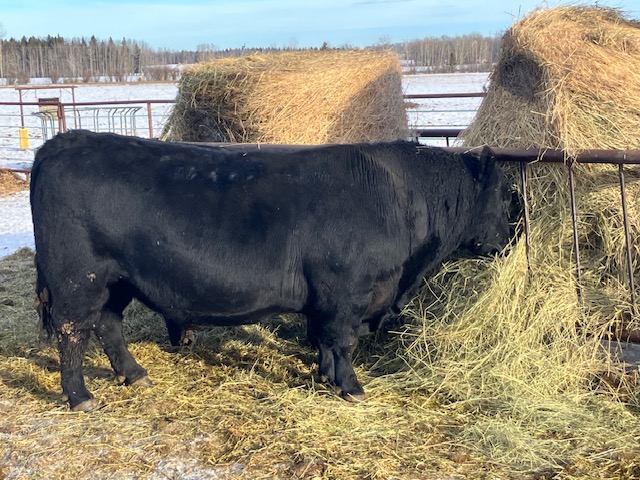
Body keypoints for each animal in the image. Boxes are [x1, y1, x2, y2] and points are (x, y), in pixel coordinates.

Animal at [30, 130, 511, 411]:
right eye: (506, 194)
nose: (511, 240)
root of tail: (63, 141)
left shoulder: (325, 298)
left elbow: (322, 339)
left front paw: (325, 377)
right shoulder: (346, 291)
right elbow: (343, 341)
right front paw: (351, 387)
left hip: (116, 280)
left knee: (107, 324)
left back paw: (134, 375)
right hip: (79, 277)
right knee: (73, 329)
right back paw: (80, 397)